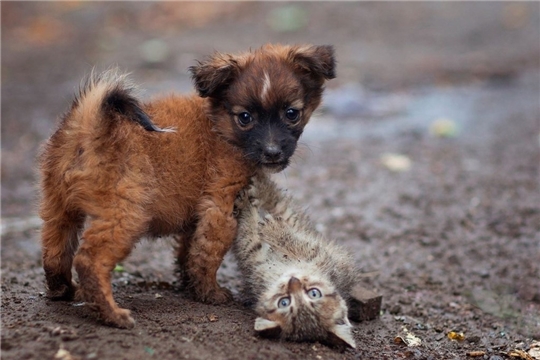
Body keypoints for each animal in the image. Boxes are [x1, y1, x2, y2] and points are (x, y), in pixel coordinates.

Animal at [39, 43, 334, 328]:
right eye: (245, 117)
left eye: (292, 114)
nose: (272, 152)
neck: (220, 127)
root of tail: (89, 127)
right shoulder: (220, 208)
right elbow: (208, 254)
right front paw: (210, 293)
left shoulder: (197, 216)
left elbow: (190, 251)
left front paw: (190, 286)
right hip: (125, 215)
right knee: (89, 261)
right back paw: (111, 314)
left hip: (58, 207)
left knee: (54, 252)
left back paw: (63, 290)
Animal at [233, 174, 356, 348]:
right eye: (314, 293)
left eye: (284, 302)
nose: (294, 281)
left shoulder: (254, 257)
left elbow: (251, 233)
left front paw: (248, 207)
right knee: (281, 204)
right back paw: (262, 185)